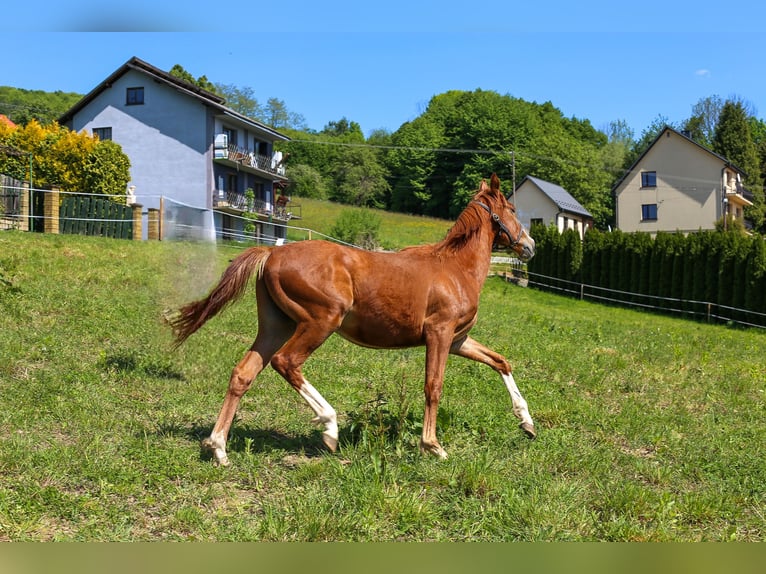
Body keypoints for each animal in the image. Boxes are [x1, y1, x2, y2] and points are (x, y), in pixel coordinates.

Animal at [168, 174, 536, 468]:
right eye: (512, 210)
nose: (530, 246)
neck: (455, 268)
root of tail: (272, 252)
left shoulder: (458, 340)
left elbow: (501, 361)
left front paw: (527, 423)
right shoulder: (439, 334)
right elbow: (433, 386)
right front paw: (433, 446)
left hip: (276, 326)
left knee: (244, 373)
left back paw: (218, 447)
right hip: (321, 322)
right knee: (286, 362)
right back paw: (330, 427)